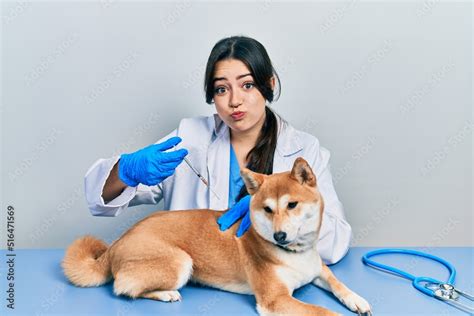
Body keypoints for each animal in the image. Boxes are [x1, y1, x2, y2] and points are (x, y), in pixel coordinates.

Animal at [63, 157, 372, 314]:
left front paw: (357, 299)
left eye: (292, 205)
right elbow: (325, 313)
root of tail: (115, 246)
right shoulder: (274, 299)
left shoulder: (318, 270)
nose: (280, 235)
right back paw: (165, 293)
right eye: (267, 209)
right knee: (123, 287)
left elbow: (338, 284)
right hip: (181, 261)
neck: (294, 254)